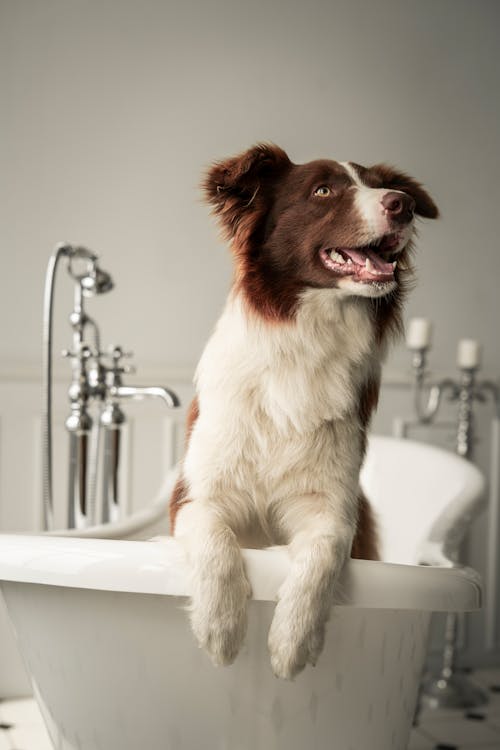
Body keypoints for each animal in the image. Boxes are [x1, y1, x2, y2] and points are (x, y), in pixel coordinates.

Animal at [169, 145, 438, 680]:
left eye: (381, 185)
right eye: (323, 190)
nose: (401, 204)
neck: (306, 340)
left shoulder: (332, 505)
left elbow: (322, 550)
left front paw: (291, 642)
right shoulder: (194, 495)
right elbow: (214, 537)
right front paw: (220, 628)